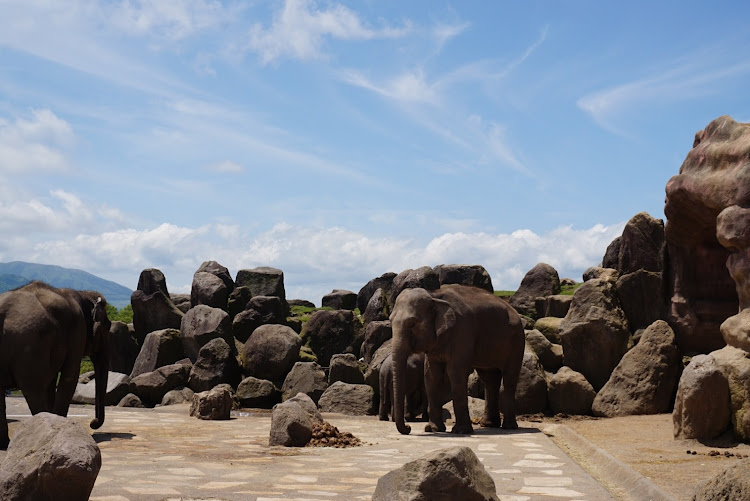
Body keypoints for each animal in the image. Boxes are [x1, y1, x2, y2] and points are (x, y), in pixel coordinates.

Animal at [0, 280, 111, 448]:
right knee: (35, 389)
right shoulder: (77, 330)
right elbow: (70, 375)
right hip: (30, 344)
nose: (93, 423)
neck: (82, 293)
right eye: (107, 327)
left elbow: (52, 382)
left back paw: (4, 445)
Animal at [390, 286, 524, 434]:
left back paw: (509, 426)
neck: (434, 295)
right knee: (490, 379)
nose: (408, 427)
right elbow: (431, 375)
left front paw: (461, 431)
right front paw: (433, 429)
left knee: (509, 377)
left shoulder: (462, 331)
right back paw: (488, 424)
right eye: (390, 321)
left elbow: (455, 372)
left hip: (517, 340)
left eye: (412, 323)